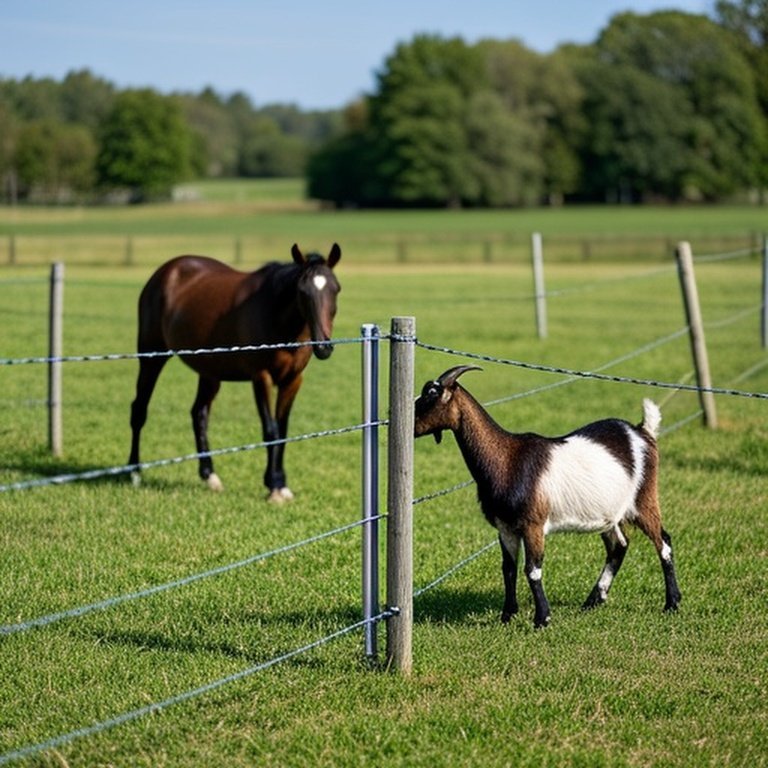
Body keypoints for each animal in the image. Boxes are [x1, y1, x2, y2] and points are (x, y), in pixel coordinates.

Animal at [128, 243, 341, 502]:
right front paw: (273, 485)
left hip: (209, 372)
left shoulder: (293, 380)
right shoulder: (261, 377)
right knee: (139, 410)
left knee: (199, 414)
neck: (276, 315)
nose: (323, 346)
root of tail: (165, 272)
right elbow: (270, 429)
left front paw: (282, 485)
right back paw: (135, 473)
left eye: (336, 289)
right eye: (302, 291)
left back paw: (210, 476)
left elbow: (283, 429)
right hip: (151, 357)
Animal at [414, 365, 681, 628]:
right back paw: (593, 600)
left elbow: (532, 570)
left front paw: (542, 619)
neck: (506, 459)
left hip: (643, 499)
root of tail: (642, 431)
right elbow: (508, 569)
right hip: (609, 512)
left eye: (431, 394)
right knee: (619, 545)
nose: (409, 426)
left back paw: (672, 603)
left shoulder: (533, 523)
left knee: (663, 542)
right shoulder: (506, 527)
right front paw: (507, 615)